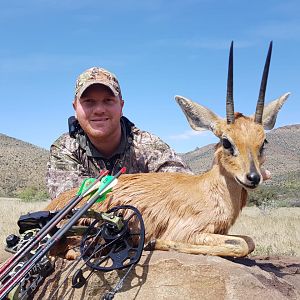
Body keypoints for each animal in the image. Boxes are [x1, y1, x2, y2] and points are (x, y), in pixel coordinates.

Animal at [47, 42, 290, 258]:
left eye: (263, 142)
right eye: (227, 142)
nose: (253, 177)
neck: (207, 189)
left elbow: (248, 241)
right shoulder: (189, 232)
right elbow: (241, 244)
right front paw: (155, 242)